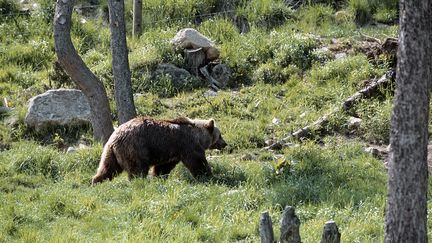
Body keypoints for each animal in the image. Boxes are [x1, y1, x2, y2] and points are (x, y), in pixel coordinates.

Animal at [91, 116, 226, 184]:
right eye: (220, 135)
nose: (225, 144)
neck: (198, 137)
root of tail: (114, 138)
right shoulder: (187, 145)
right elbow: (197, 162)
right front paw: (209, 176)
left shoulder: (172, 151)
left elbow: (164, 166)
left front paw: (159, 176)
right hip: (136, 148)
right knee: (138, 169)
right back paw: (139, 182)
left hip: (111, 153)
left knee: (108, 168)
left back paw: (97, 181)